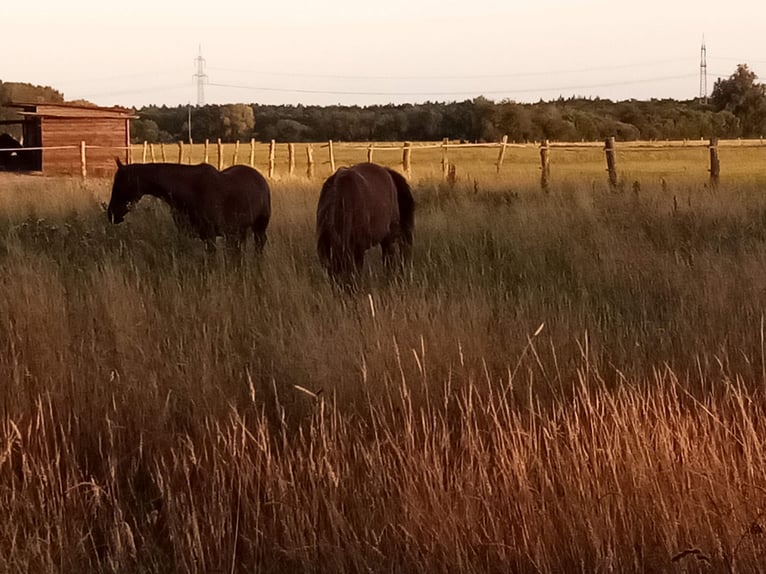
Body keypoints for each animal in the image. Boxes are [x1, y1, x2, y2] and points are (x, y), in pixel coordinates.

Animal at [108, 162, 272, 252]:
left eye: (120, 185)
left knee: (259, 244)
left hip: (259, 228)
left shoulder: (210, 236)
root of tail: (260, 178)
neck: (191, 190)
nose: (111, 215)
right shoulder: (185, 234)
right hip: (237, 231)